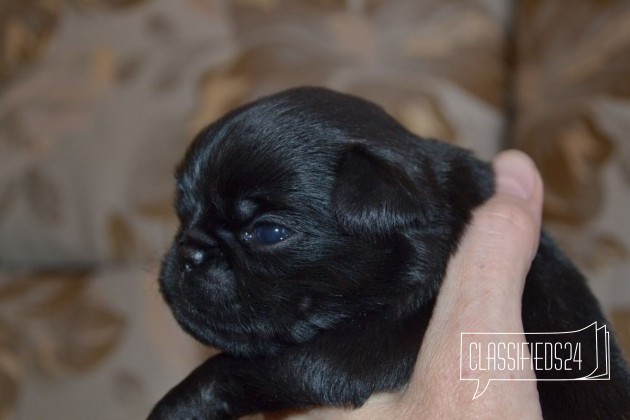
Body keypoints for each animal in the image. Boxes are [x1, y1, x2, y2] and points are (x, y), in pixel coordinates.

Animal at [149, 87, 630, 418]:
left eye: (268, 232)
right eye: (182, 214)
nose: (190, 252)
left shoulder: (351, 357)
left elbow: (240, 368)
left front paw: (177, 405)